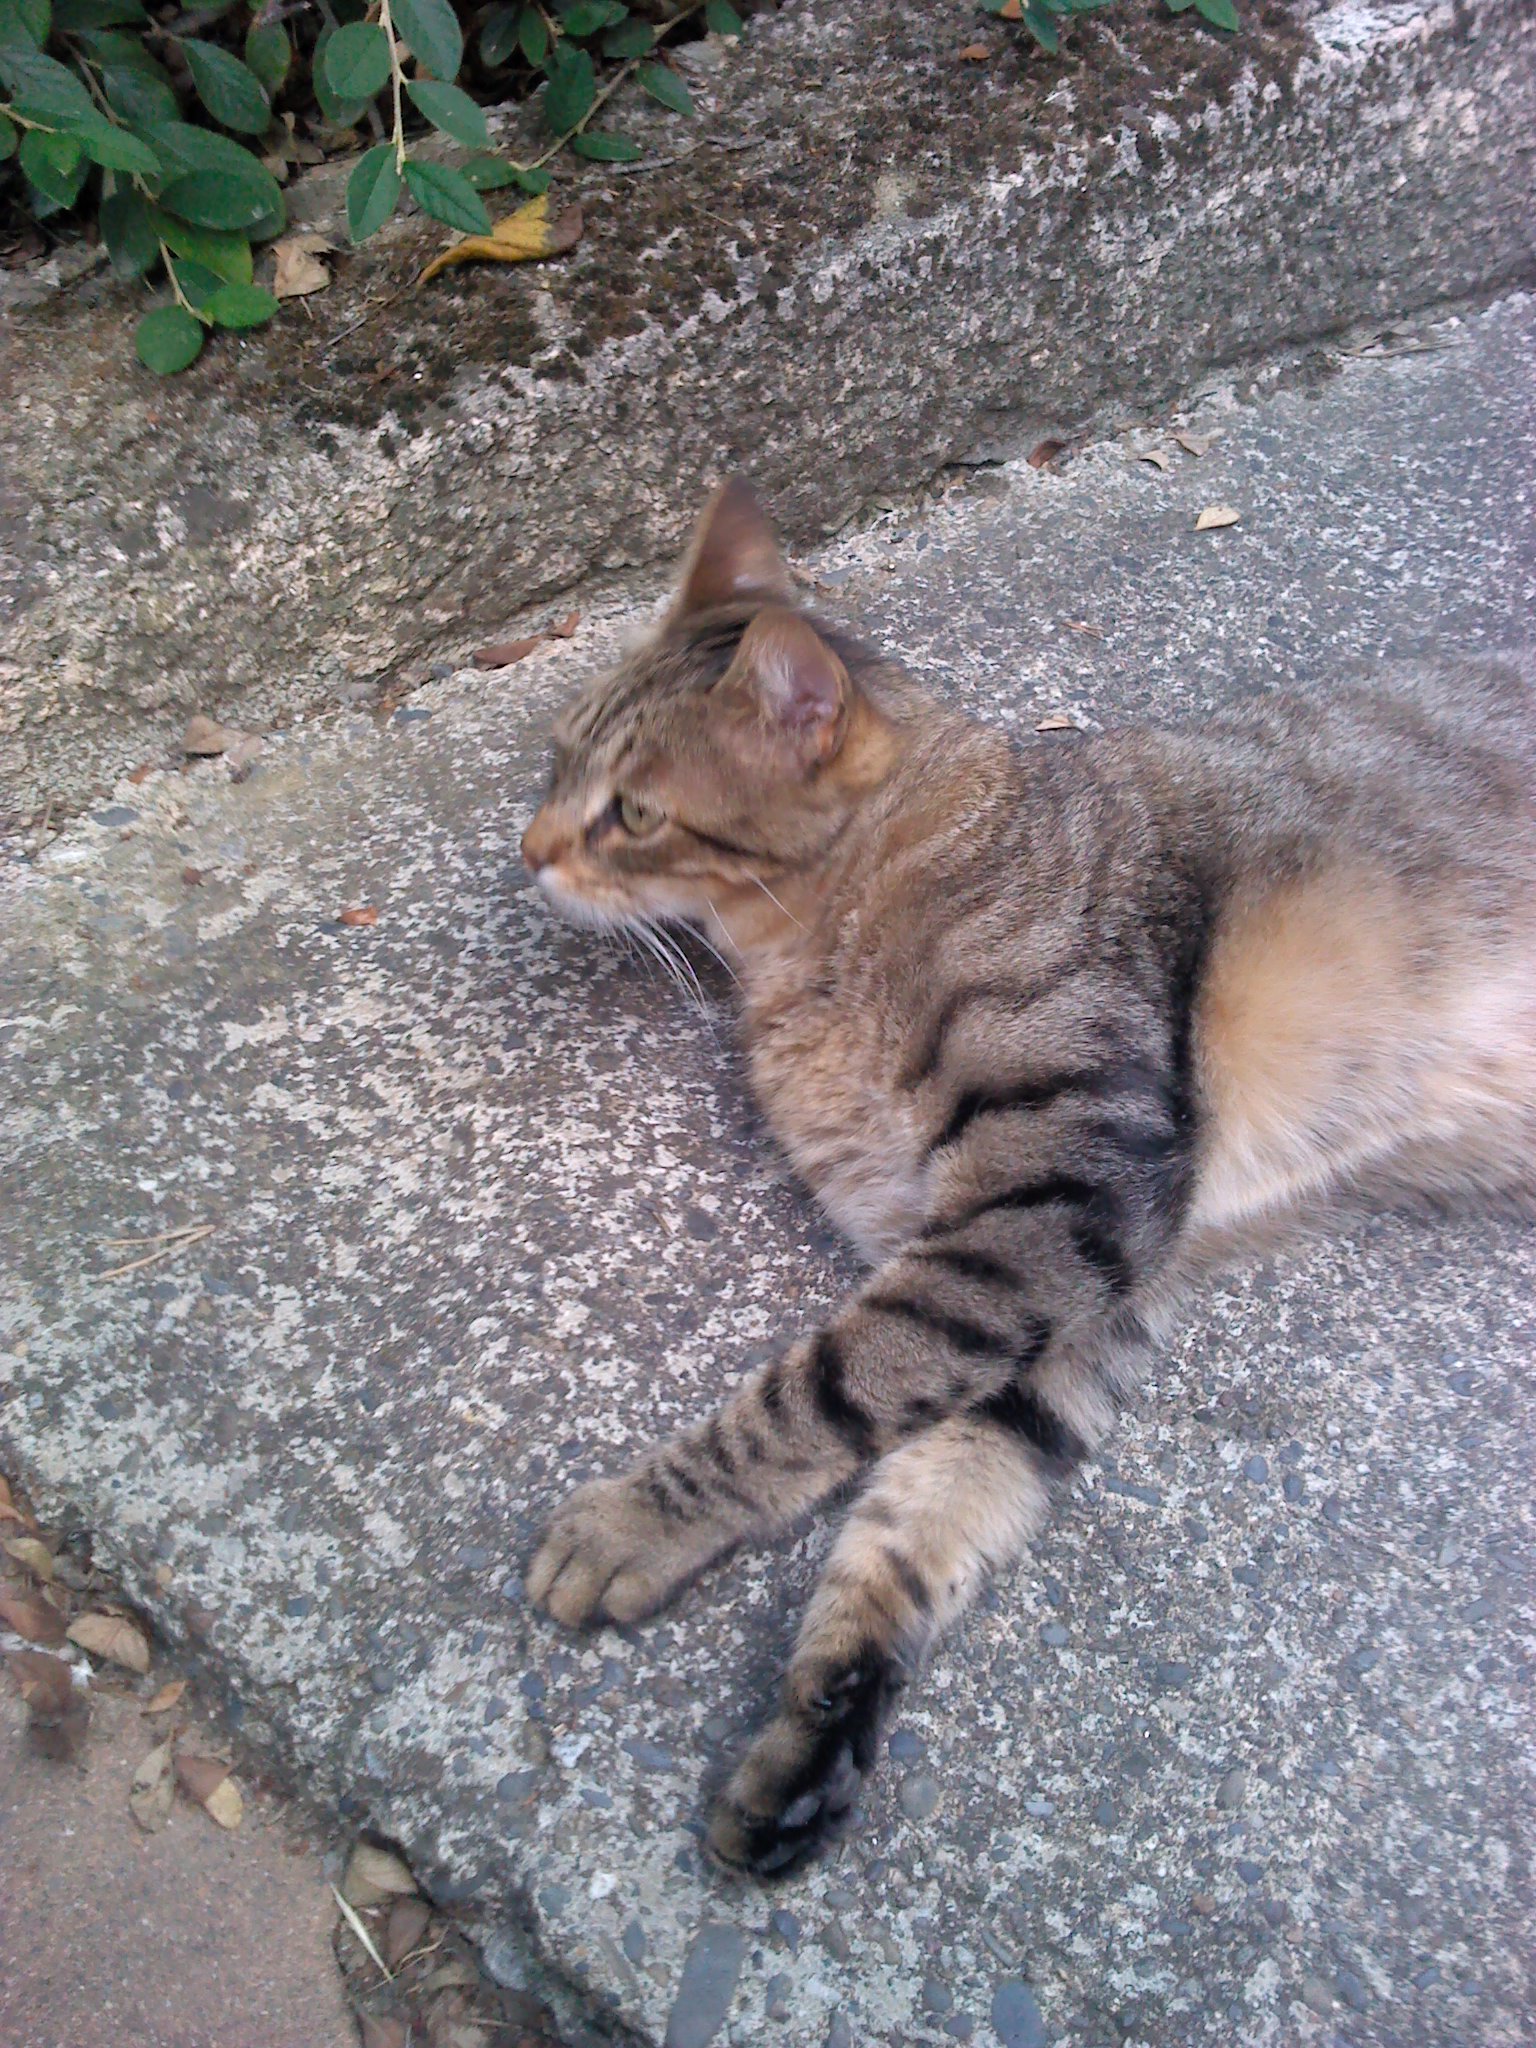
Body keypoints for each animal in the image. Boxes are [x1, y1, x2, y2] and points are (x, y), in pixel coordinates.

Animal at [520, 475, 1536, 1875]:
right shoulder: (1065, 1287)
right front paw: (824, 1723)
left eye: (631, 811)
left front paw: (641, 1516)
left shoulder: (1057, 1196)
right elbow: (923, 1507)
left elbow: (816, 1391)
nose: (526, 847)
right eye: (556, 761)